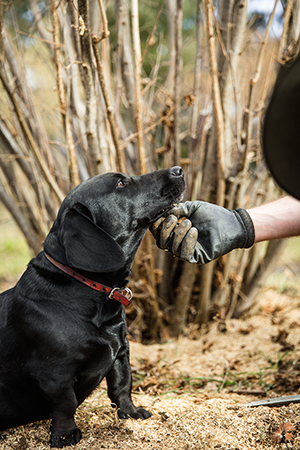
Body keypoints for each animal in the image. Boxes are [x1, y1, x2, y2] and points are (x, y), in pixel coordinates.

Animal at [0, 166, 185, 446]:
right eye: (120, 183)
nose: (179, 170)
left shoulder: (121, 352)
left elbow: (122, 385)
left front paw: (131, 413)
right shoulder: (54, 373)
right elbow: (65, 403)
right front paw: (65, 434)